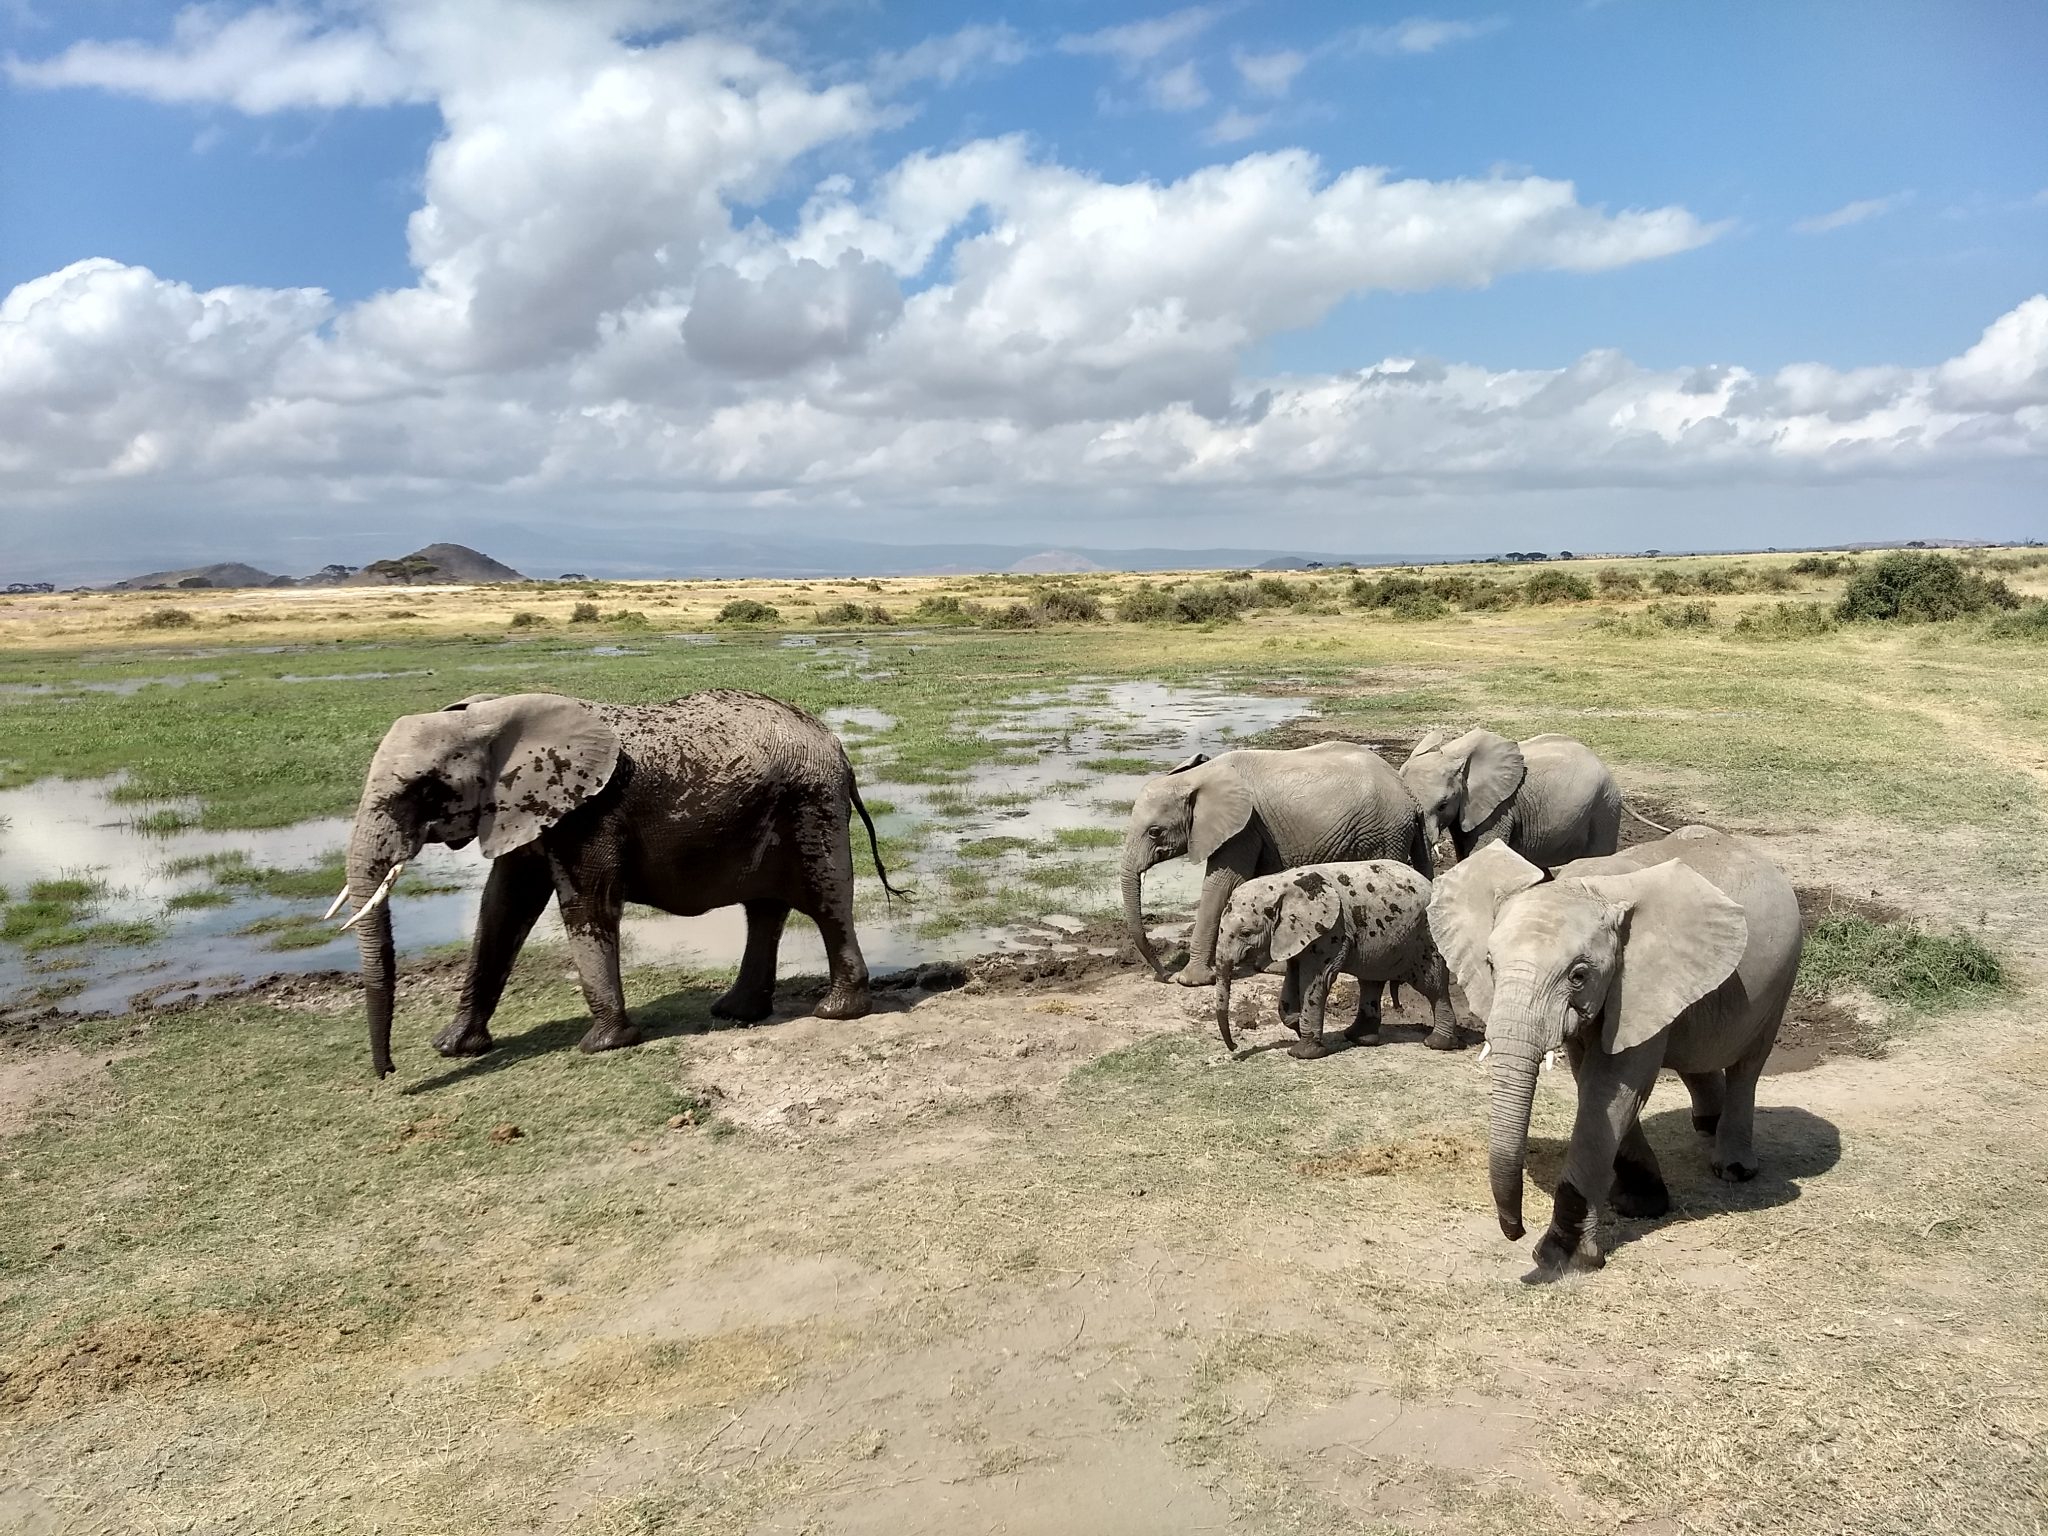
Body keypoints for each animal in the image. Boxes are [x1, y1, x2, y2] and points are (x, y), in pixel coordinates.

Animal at [331, 692, 901, 1073]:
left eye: (426, 791)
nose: (387, 1071)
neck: (490, 719)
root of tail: (836, 745)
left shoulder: (590, 813)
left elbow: (587, 906)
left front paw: (602, 1045)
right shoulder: (526, 810)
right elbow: (501, 909)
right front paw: (452, 1047)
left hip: (811, 804)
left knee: (826, 900)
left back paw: (837, 1013)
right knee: (764, 908)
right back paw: (737, 1012)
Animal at [1122, 741, 1425, 991]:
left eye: (1155, 832)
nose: (1164, 975)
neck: (1199, 776)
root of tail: (1411, 796)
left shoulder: (1243, 828)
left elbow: (1221, 885)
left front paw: (1191, 981)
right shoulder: (1258, 831)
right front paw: (1269, 966)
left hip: (1384, 832)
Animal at [1204, 860, 1466, 1064]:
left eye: (1246, 932)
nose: (1235, 1048)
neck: (1280, 883)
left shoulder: (1331, 931)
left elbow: (1316, 982)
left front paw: (1302, 1052)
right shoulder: (1296, 935)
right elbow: (1293, 977)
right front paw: (1296, 1024)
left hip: (1425, 937)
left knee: (1432, 986)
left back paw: (1436, 1043)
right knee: (1370, 982)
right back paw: (1358, 1038)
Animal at [1433, 835, 1802, 1277]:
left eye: (1578, 975)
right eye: (1490, 964)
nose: (1515, 1231)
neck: (1588, 887)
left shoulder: (1639, 982)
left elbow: (1611, 1089)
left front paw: (1562, 1258)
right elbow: (1593, 1082)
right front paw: (1640, 1204)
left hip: (1782, 976)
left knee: (1748, 1065)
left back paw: (1734, 1169)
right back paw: (1706, 1126)